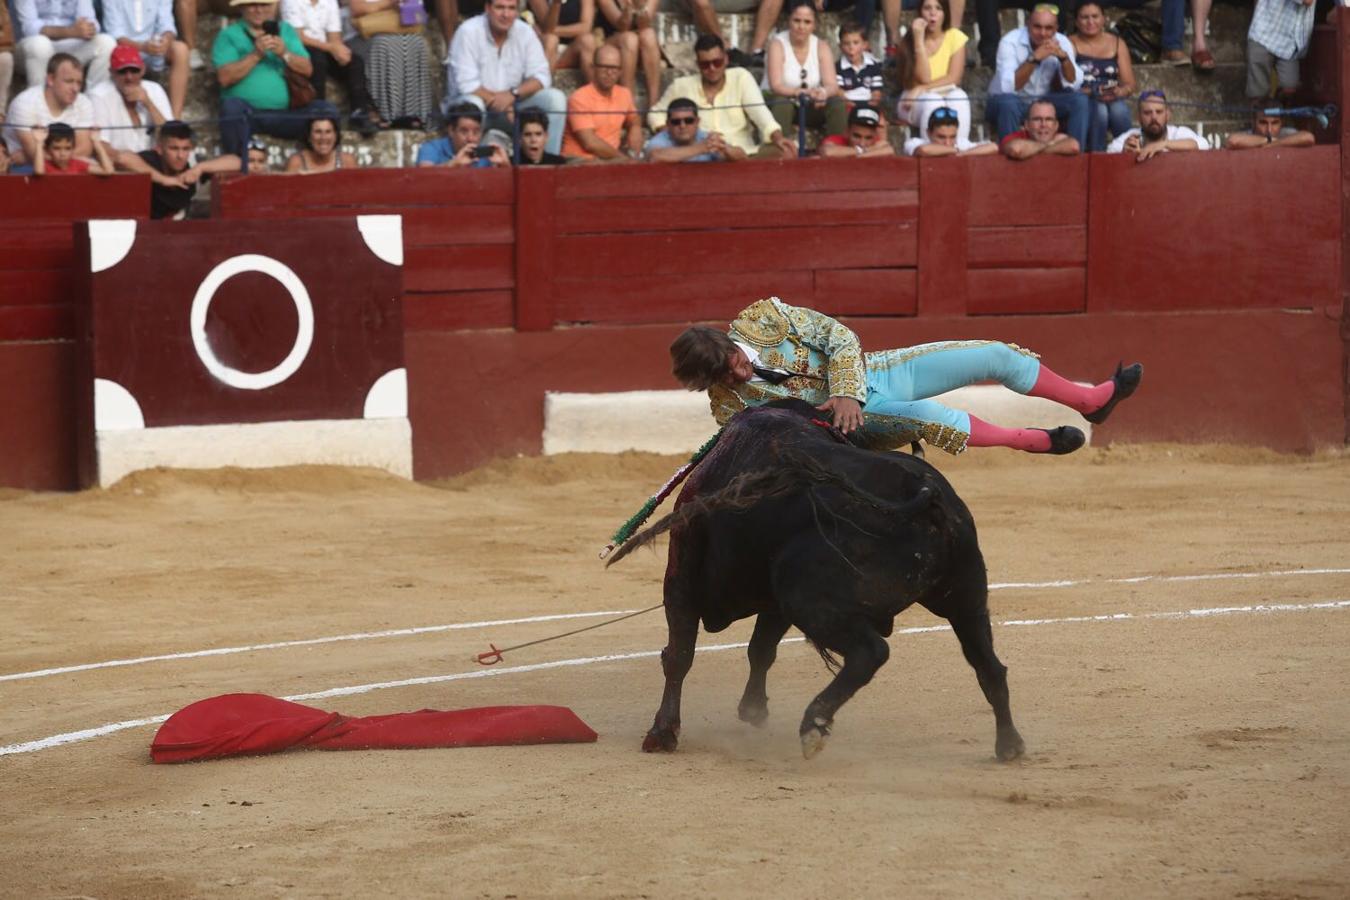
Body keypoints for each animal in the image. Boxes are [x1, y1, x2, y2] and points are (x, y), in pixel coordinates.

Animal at [610, 402, 1020, 761]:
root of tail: (924, 493)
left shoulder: (681, 581)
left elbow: (679, 655)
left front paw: (662, 733)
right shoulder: (773, 603)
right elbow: (761, 649)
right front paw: (753, 710)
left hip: (809, 599)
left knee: (870, 652)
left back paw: (814, 725)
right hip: (966, 597)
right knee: (989, 665)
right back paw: (1010, 746)